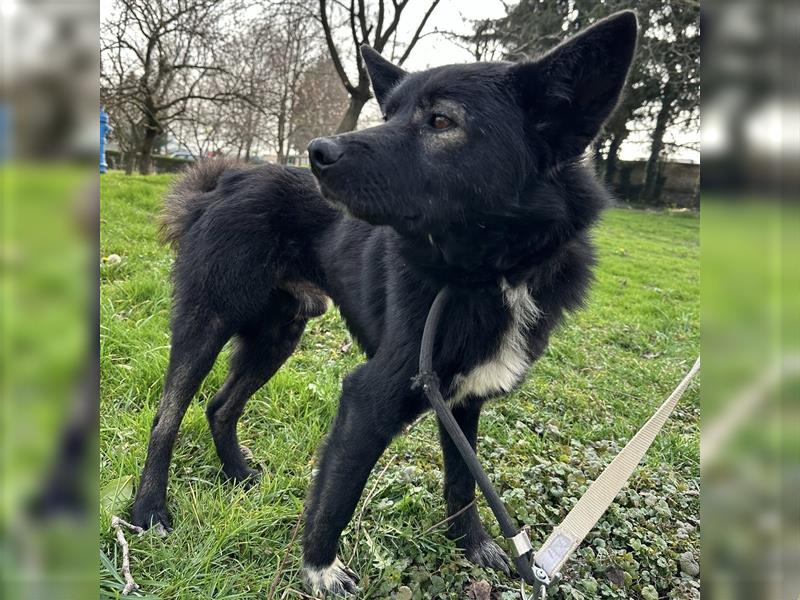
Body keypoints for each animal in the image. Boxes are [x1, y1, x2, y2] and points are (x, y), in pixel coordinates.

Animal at [131, 12, 636, 596]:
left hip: (278, 334)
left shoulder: (463, 402)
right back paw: (149, 510)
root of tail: (229, 178)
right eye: (388, 112)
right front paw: (321, 570)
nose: (317, 152)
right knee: (166, 417)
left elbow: (463, 479)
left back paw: (236, 472)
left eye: (441, 120)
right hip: (208, 321)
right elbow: (338, 494)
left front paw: (472, 544)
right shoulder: (369, 394)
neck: (490, 275)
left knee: (219, 407)